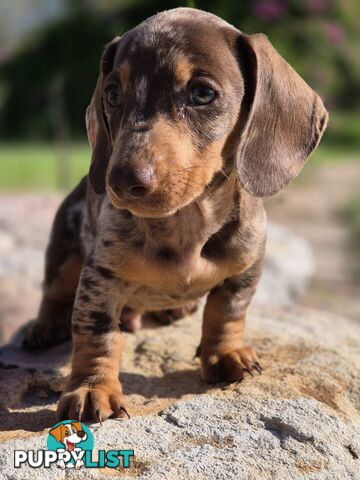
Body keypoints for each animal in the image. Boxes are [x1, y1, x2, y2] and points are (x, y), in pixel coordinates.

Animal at [21, 5, 326, 422]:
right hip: (64, 250)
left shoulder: (248, 267)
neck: (187, 223)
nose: (120, 181)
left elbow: (226, 312)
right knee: (54, 292)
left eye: (202, 93)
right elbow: (98, 335)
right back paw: (45, 325)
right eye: (112, 94)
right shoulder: (100, 278)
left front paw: (225, 354)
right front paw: (92, 387)